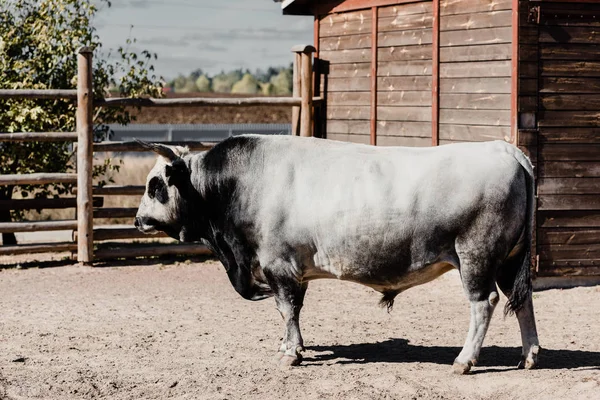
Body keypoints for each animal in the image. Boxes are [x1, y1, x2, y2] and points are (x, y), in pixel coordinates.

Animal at [135, 135, 540, 376]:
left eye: (155, 185)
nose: (138, 220)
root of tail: (504, 149)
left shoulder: (278, 265)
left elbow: (287, 309)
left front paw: (290, 352)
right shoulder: (293, 270)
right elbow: (293, 310)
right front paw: (292, 345)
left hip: (476, 255)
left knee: (484, 303)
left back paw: (464, 360)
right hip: (509, 260)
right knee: (522, 302)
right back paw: (528, 356)